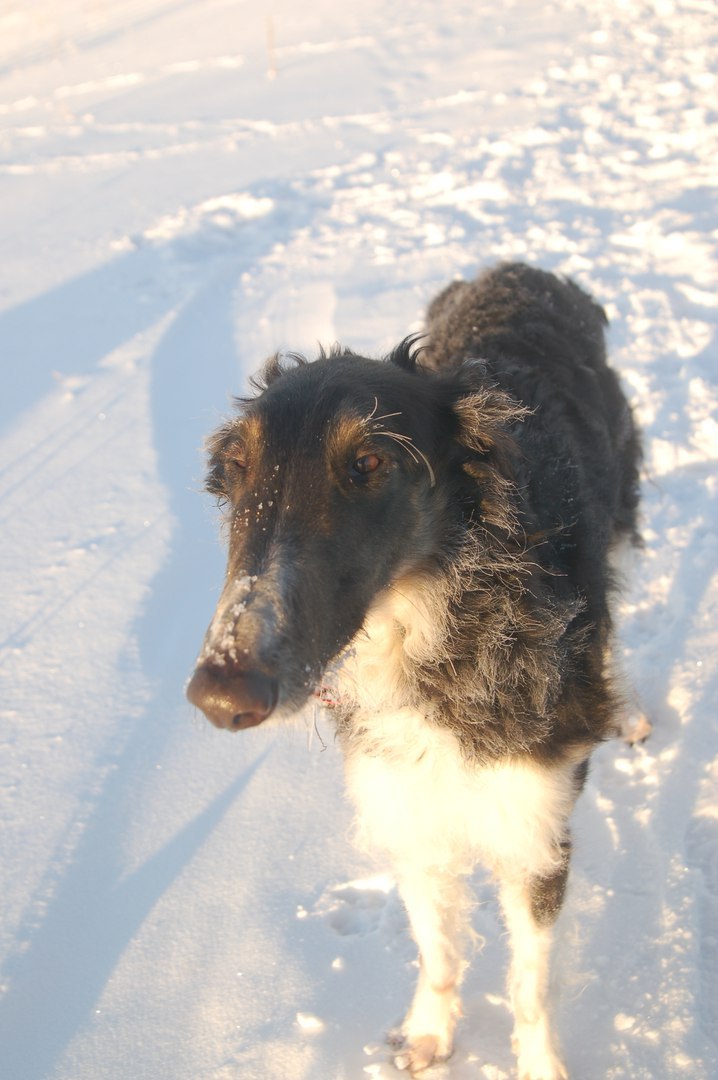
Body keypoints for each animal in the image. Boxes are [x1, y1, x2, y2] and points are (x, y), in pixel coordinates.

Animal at [184, 263, 639, 1080]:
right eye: (236, 469)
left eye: (369, 463)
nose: (221, 694)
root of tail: (520, 270)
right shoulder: (407, 803)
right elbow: (437, 950)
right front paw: (428, 1034)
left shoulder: (535, 827)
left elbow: (528, 986)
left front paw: (538, 1065)